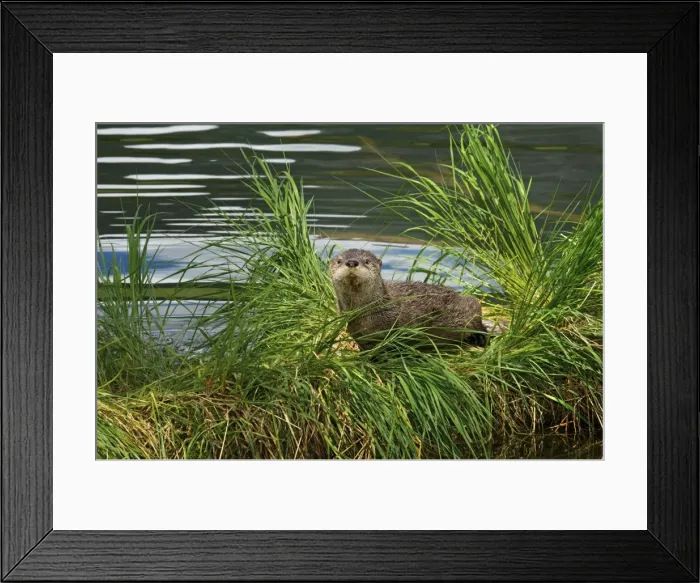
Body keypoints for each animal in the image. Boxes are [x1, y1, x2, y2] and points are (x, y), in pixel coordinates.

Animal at [329, 248, 488, 350]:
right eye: (339, 261)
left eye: (367, 261)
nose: (352, 262)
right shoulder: (357, 333)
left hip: (468, 306)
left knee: (476, 311)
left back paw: (479, 338)